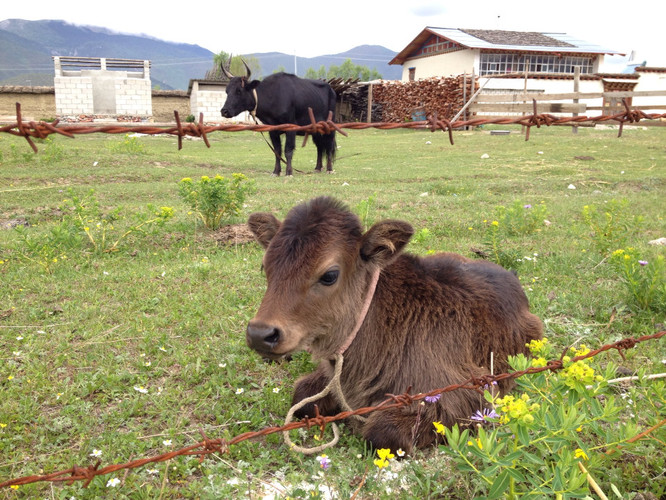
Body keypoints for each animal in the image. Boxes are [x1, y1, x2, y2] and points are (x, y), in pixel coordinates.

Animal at [246, 196, 544, 454]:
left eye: (329, 275)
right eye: (264, 267)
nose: (260, 334)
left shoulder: (467, 391)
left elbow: (383, 434)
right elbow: (301, 396)